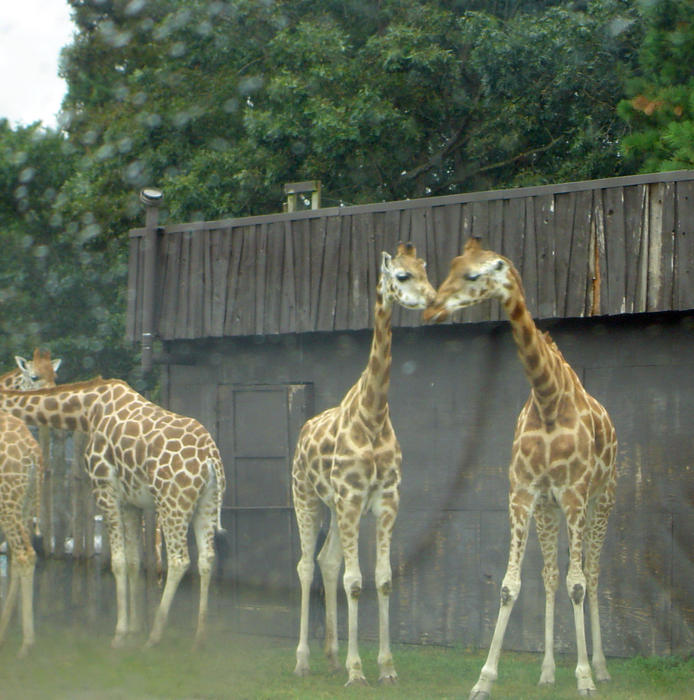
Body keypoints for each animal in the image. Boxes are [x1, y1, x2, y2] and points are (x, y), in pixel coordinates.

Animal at [0, 378, 226, 652]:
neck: (87, 409)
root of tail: (211, 459)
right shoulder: (130, 501)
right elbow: (134, 561)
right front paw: (134, 628)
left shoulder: (104, 488)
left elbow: (117, 562)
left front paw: (120, 634)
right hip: (207, 503)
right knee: (207, 558)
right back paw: (199, 638)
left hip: (173, 503)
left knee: (179, 560)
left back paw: (155, 636)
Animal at [292, 243, 436, 688]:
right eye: (402, 276)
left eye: (426, 270)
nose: (432, 298)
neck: (373, 417)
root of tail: (303, 431)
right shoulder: (353, 498)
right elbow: (355, 582)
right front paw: (358, 672)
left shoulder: (385, 499)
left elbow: (383, 580)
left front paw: (386, 667)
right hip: (307, 499)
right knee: (307, 566)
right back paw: (303, 661)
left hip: (337, 509)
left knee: (327, 562)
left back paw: (332, 657)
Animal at [424, 238, 620, 696]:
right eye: (451, 266)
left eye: (473, 275)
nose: (433, 307)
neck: (548, 401)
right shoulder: (524, 493)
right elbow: (510, 586)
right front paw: (484, 679)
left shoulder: (574, 494)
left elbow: (578, 583)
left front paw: (584, 677)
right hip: (550, 510)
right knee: (549, 575)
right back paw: (547, 671)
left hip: (601, 499)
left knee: (593, 573)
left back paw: (600, 667)